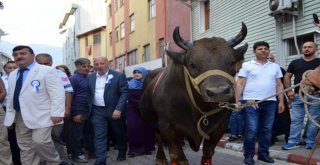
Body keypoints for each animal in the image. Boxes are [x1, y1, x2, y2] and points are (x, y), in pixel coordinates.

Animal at [139, 23, 248, 165]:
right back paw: (160, 158)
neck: (199, 108)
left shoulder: (219, 128)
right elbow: (176, 155)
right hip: (153, 123)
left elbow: (207, 154)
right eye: (192, 64)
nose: (218, 92)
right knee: (159, 139)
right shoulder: (167, 127)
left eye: (232, 62)